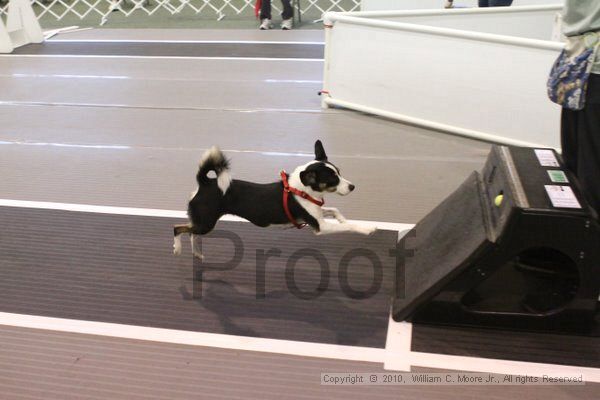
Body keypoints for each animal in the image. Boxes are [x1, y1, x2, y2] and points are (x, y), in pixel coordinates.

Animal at [171, 141, 376, 260]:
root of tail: (205, 183)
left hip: (203, 223)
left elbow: (334, 210)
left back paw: (197, 253)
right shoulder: (320, 227)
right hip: (206, 223)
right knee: (178, 228)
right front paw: (367, 229)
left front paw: (342, 218)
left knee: (191, 233)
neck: (303, 191)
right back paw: (177, 248)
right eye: (333, 179)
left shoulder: (317, 213)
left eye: (340, 173)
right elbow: (349, 226)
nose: (352, 187)